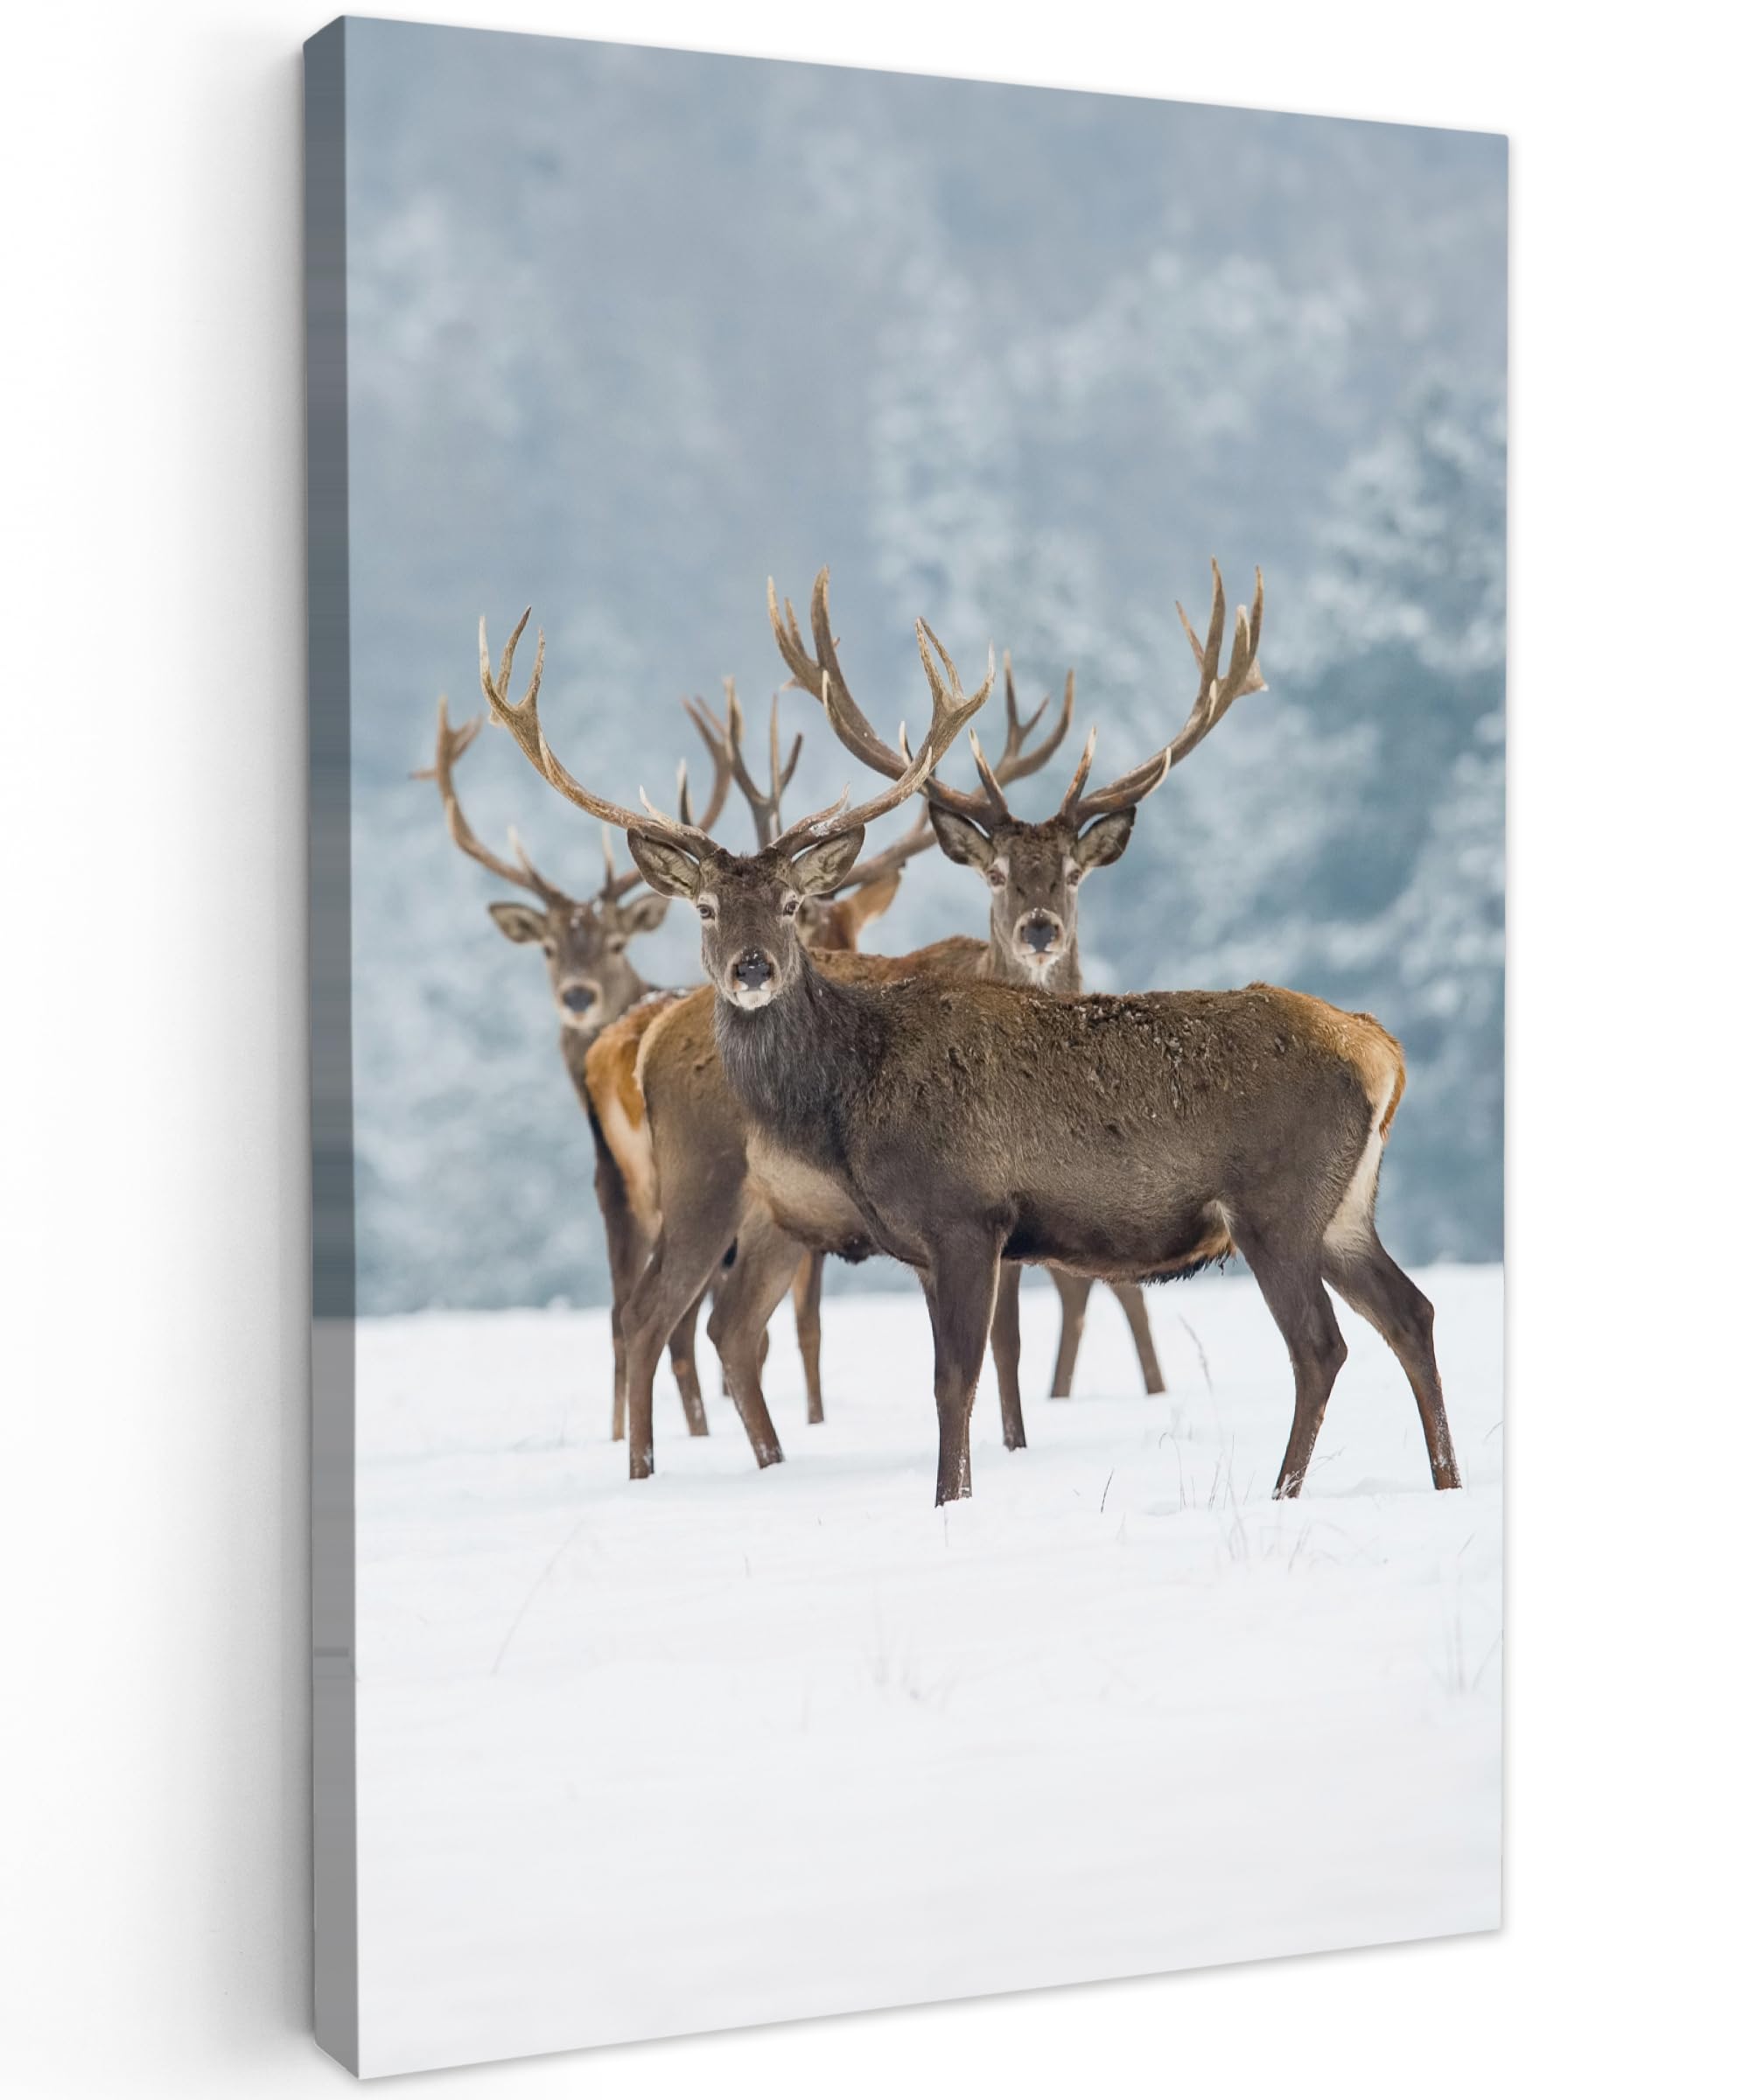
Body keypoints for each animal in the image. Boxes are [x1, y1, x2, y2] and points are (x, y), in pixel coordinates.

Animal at [485, 567, 1463, 1508]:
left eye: (792, 904)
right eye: (707, 907)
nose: (752, 967)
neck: (850, 1097)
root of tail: (1380, 1052)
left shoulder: (966, 1214)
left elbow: (956, 1378)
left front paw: (947, 1503)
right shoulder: (934, 1240)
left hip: (1276, 1203)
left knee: (1321, 1345)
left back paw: (1284, 1491)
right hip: (1343, 1209)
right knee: (1411, 1313)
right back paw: (1443, 1480)